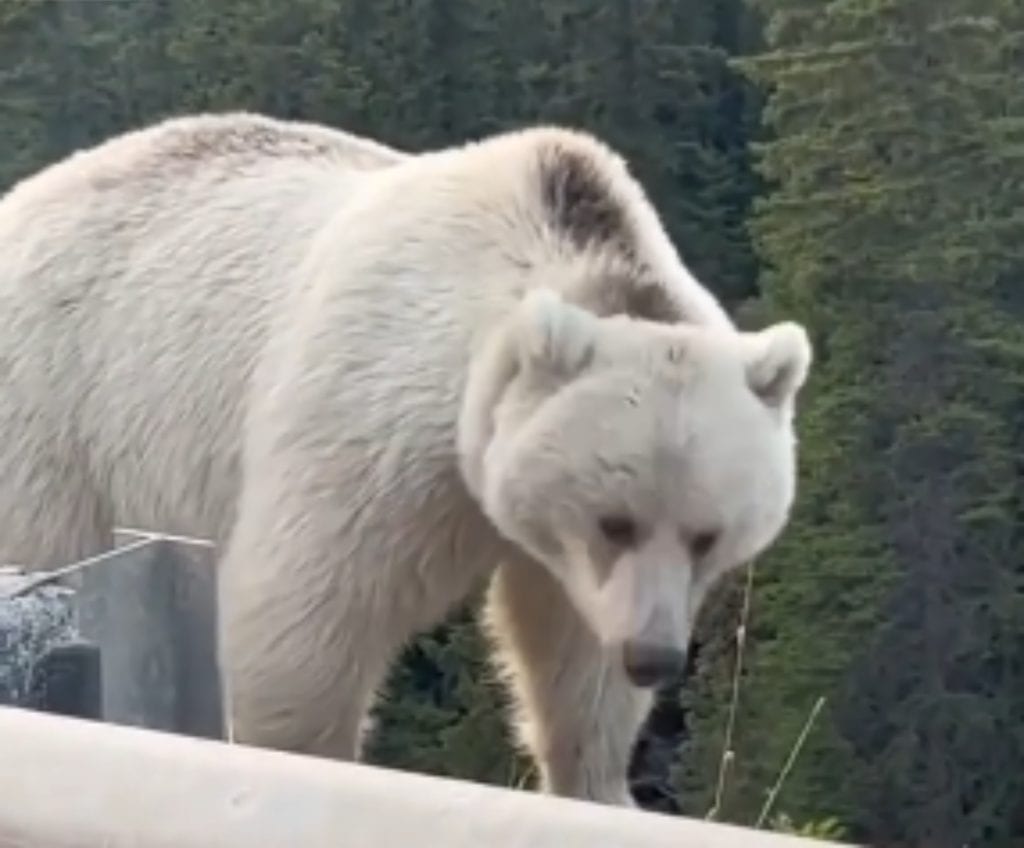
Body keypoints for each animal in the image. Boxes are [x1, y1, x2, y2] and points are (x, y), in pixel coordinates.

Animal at [0, 112, 811, 806]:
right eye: (616, 522)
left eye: (708, 536)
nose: (654, 657)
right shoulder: (375, 425)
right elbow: (304, 612)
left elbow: (572, 654)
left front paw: (599, 786)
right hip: (60, 413)